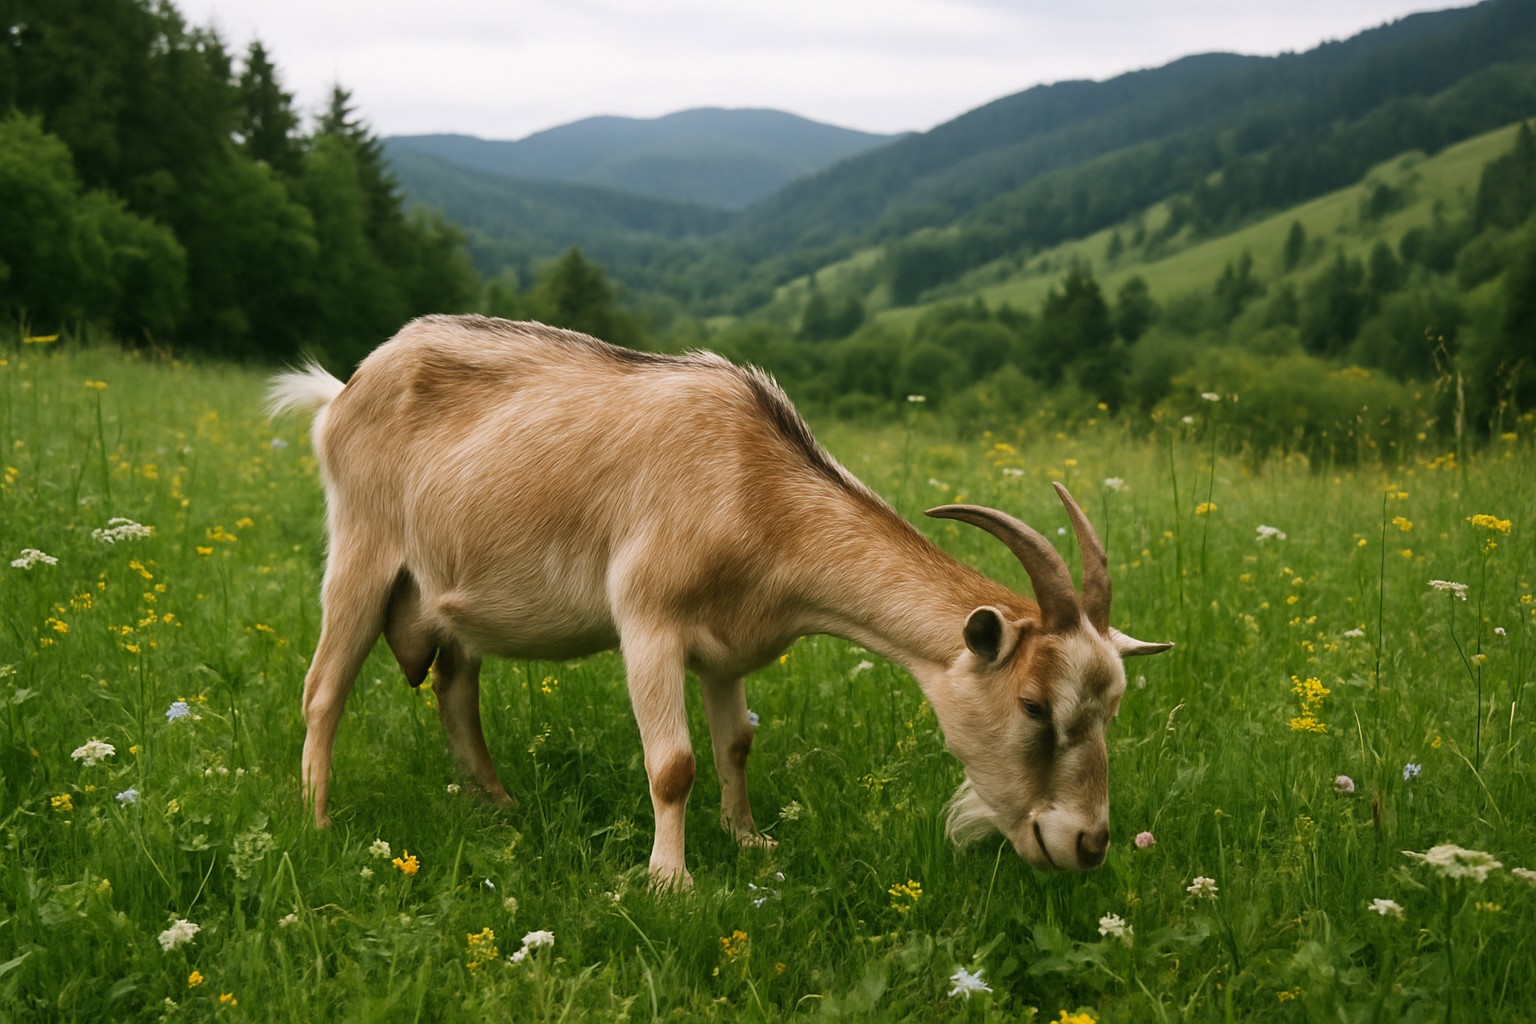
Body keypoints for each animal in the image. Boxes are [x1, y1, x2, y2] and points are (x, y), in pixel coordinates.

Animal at [268, 315, 1170, 886]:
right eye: (1033, 705)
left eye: (1112, 708)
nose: (1088, 844)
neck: (751, 482)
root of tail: (342, 389)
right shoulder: (649, 622)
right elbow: (674, 764)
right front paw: (672, 882)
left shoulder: (728, 647)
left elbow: (735, 743)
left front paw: (749, 840)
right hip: (361, 550)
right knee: (323, 690)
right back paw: (317, 822)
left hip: (447, 602)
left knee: (456, 692)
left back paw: (501, 807)